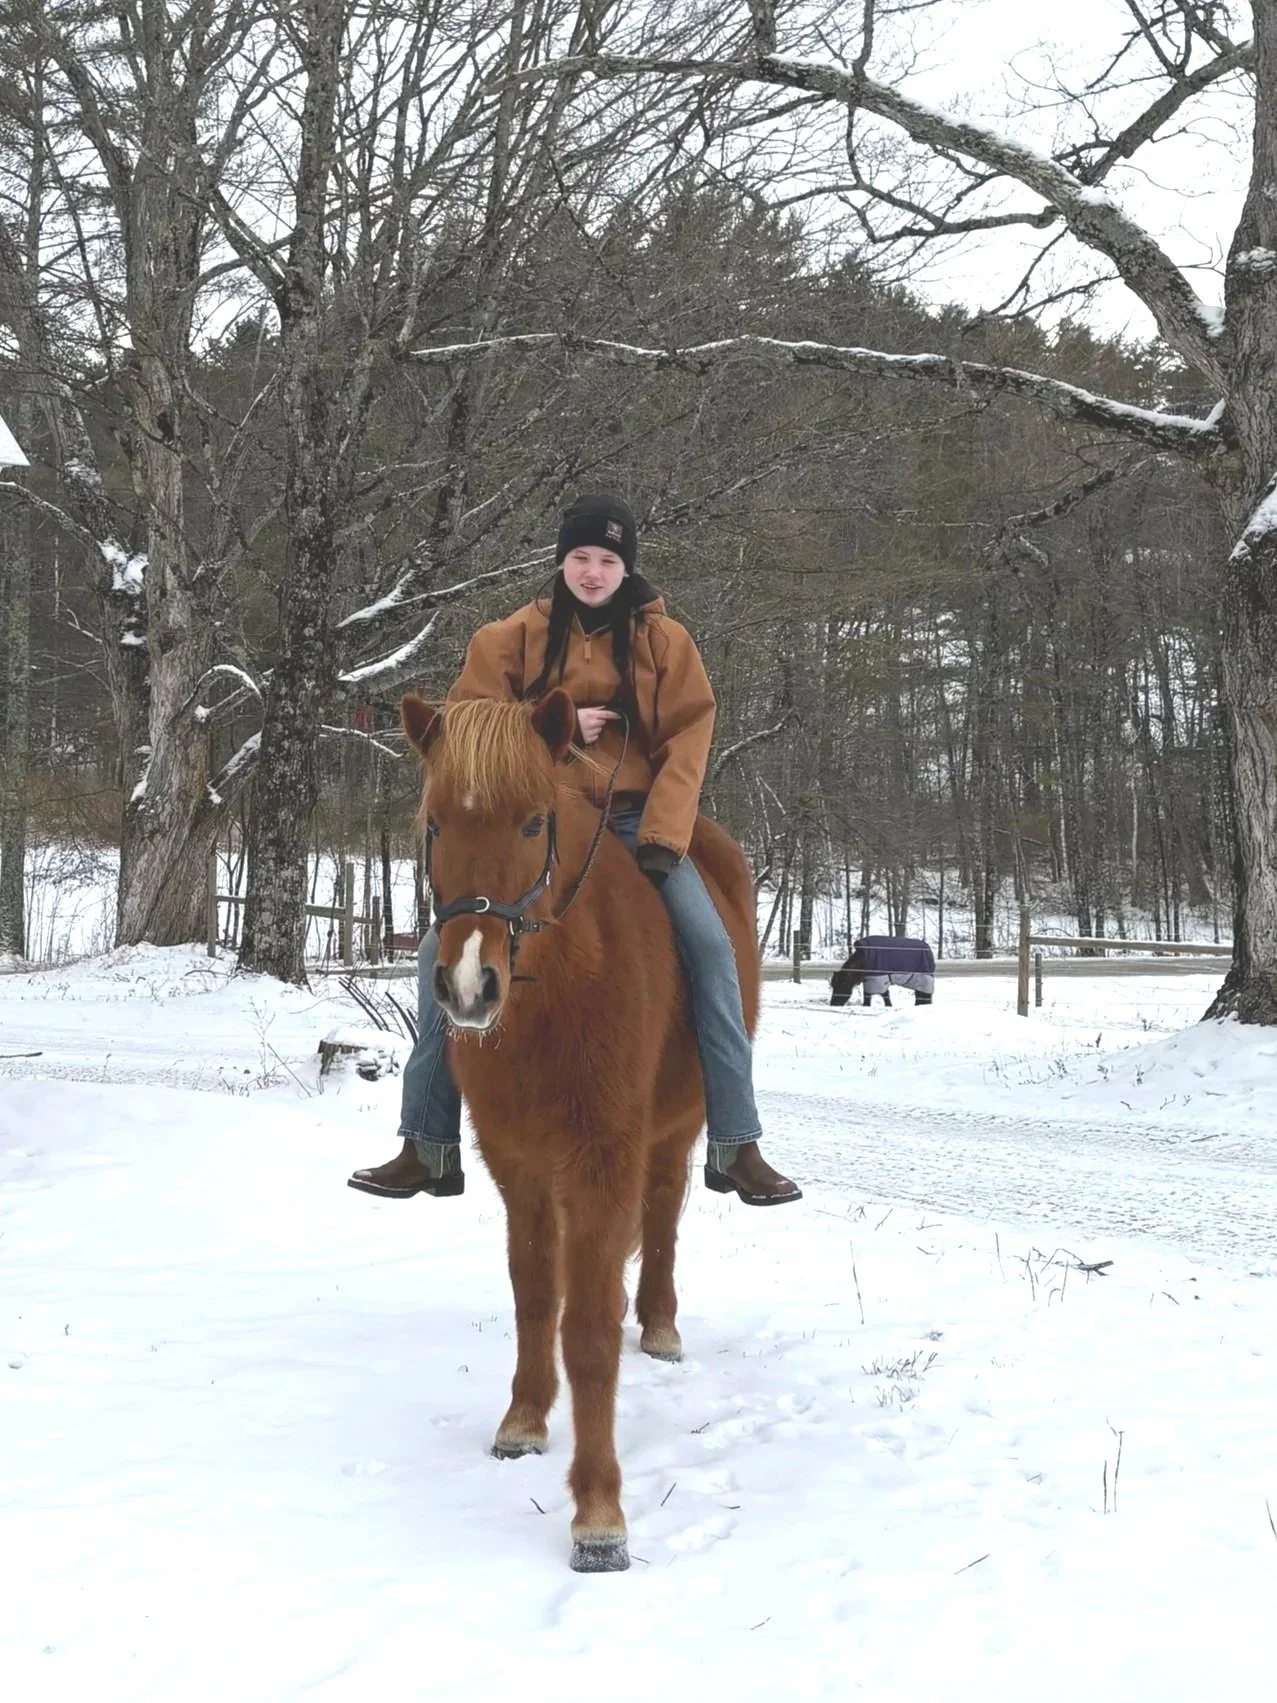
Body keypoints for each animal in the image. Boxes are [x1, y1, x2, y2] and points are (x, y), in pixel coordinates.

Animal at [399, 688, 760, 1573]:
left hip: (674, 1132)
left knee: (661, 1216)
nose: (469, 984)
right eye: (435, 825)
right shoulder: (519, 1166)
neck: (559, 993)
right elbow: (536, 1297)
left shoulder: (603, 1160)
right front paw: (525, 1419)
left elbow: (590, 1330)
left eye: (534, 823)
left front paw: (598, 1512)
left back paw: (660, 1323)